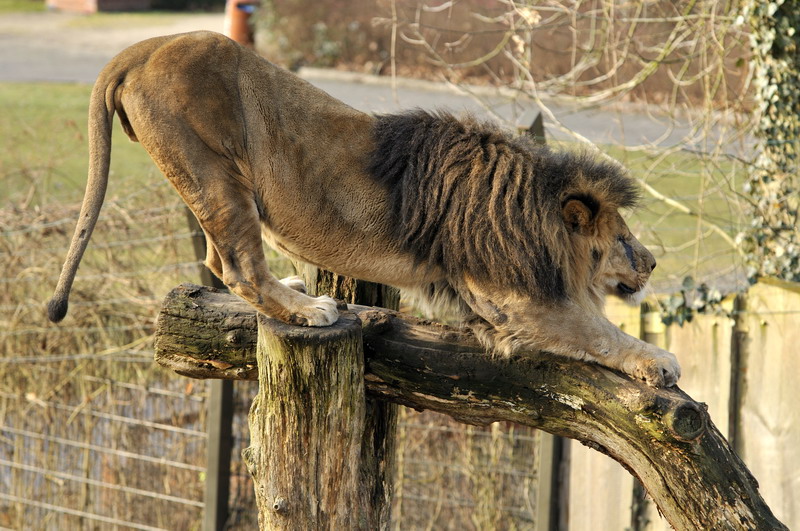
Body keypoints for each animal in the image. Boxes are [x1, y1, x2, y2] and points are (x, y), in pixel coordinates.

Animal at [48, 31, 680, 388]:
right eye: (624, 239)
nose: (653, 263)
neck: (530, 210)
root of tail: (139, 50)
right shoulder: (516, 302)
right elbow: (600, 331)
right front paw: (658, 362)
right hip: (216, 173)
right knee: (236, 265)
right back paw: (307, 309)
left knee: (217, 260)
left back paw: (294, 291)